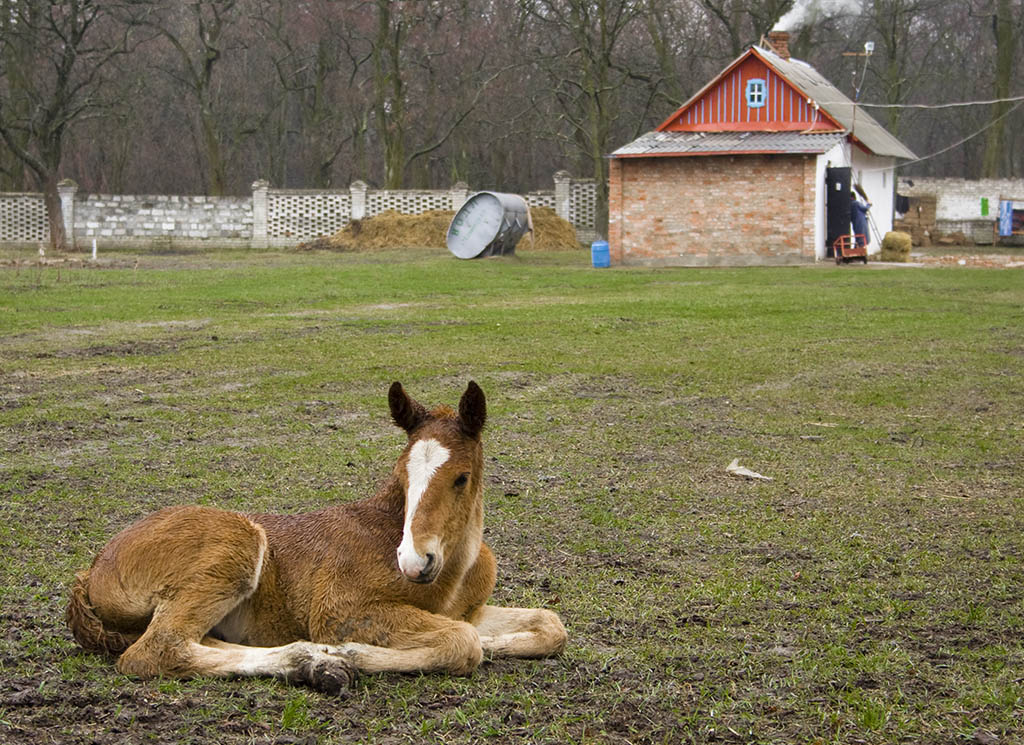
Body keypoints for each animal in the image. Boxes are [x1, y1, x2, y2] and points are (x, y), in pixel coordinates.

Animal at [67, 380, 569, 695]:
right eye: (402, 474)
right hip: (237, 544)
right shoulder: (339, 610)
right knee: (153, 651)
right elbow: (462, 642)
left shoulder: (470, 608)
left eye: (461, 478)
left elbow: (548, 626)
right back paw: (317, 662)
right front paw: (354, 653)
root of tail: (90, 572)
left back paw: (312, 661)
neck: (453, 571)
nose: (414, 560)